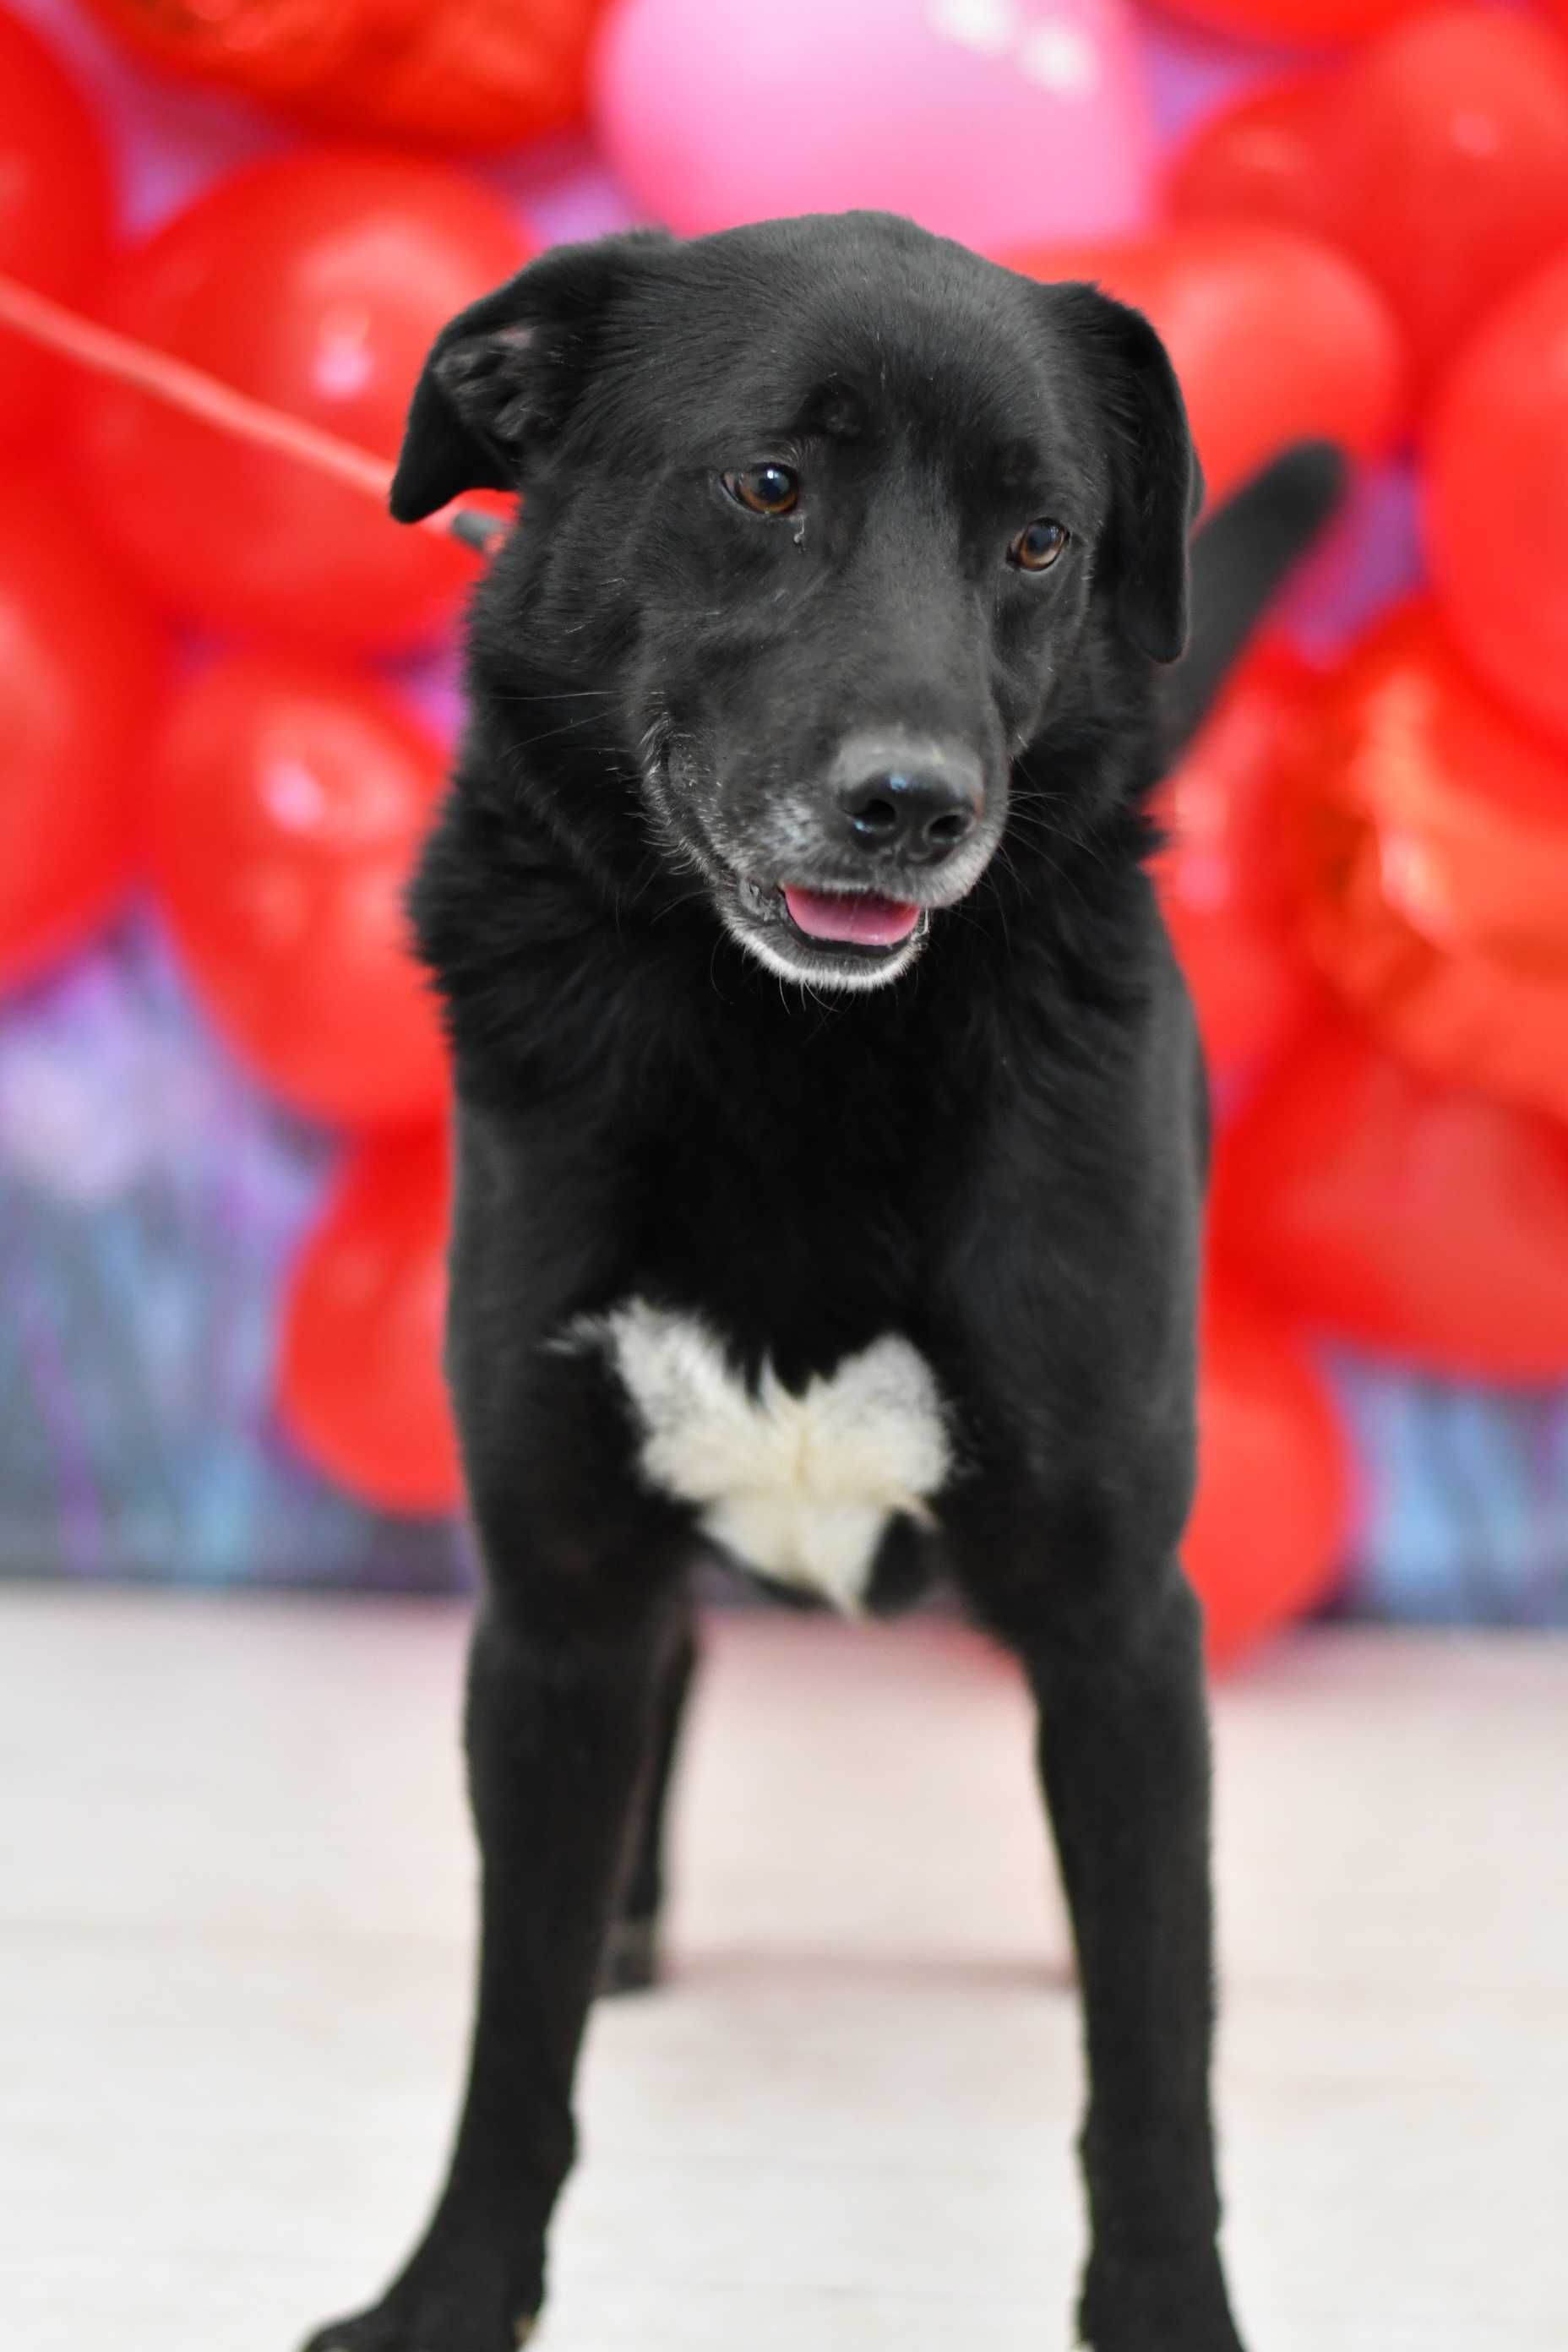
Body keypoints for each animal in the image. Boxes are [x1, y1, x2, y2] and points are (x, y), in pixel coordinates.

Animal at [302, 211, 1335, 2342]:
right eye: (769, 484)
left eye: (1039, 537)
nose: (917, 809)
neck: (785, 1047)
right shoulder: (555, 1593)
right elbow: (511, 2028)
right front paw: (449, 2292)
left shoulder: (1121, 1621)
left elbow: (1153, 2053)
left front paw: (1167, 2307)